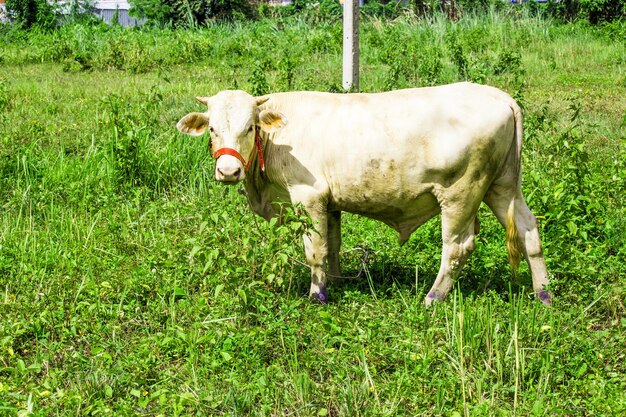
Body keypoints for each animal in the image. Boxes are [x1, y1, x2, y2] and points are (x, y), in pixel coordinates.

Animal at [174, 83, 544, 304]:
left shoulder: (309, 197)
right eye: (212, 129)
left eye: (249, 127)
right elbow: (333, 243)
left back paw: (433, 297)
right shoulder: (330, 203)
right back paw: (544, 293)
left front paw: (318, 294)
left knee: (457, 247)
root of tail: (499, 96)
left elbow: (315, 249)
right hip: (503, 186)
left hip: (461, 193)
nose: (228, 171)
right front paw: (336, 281)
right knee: (529, 232)